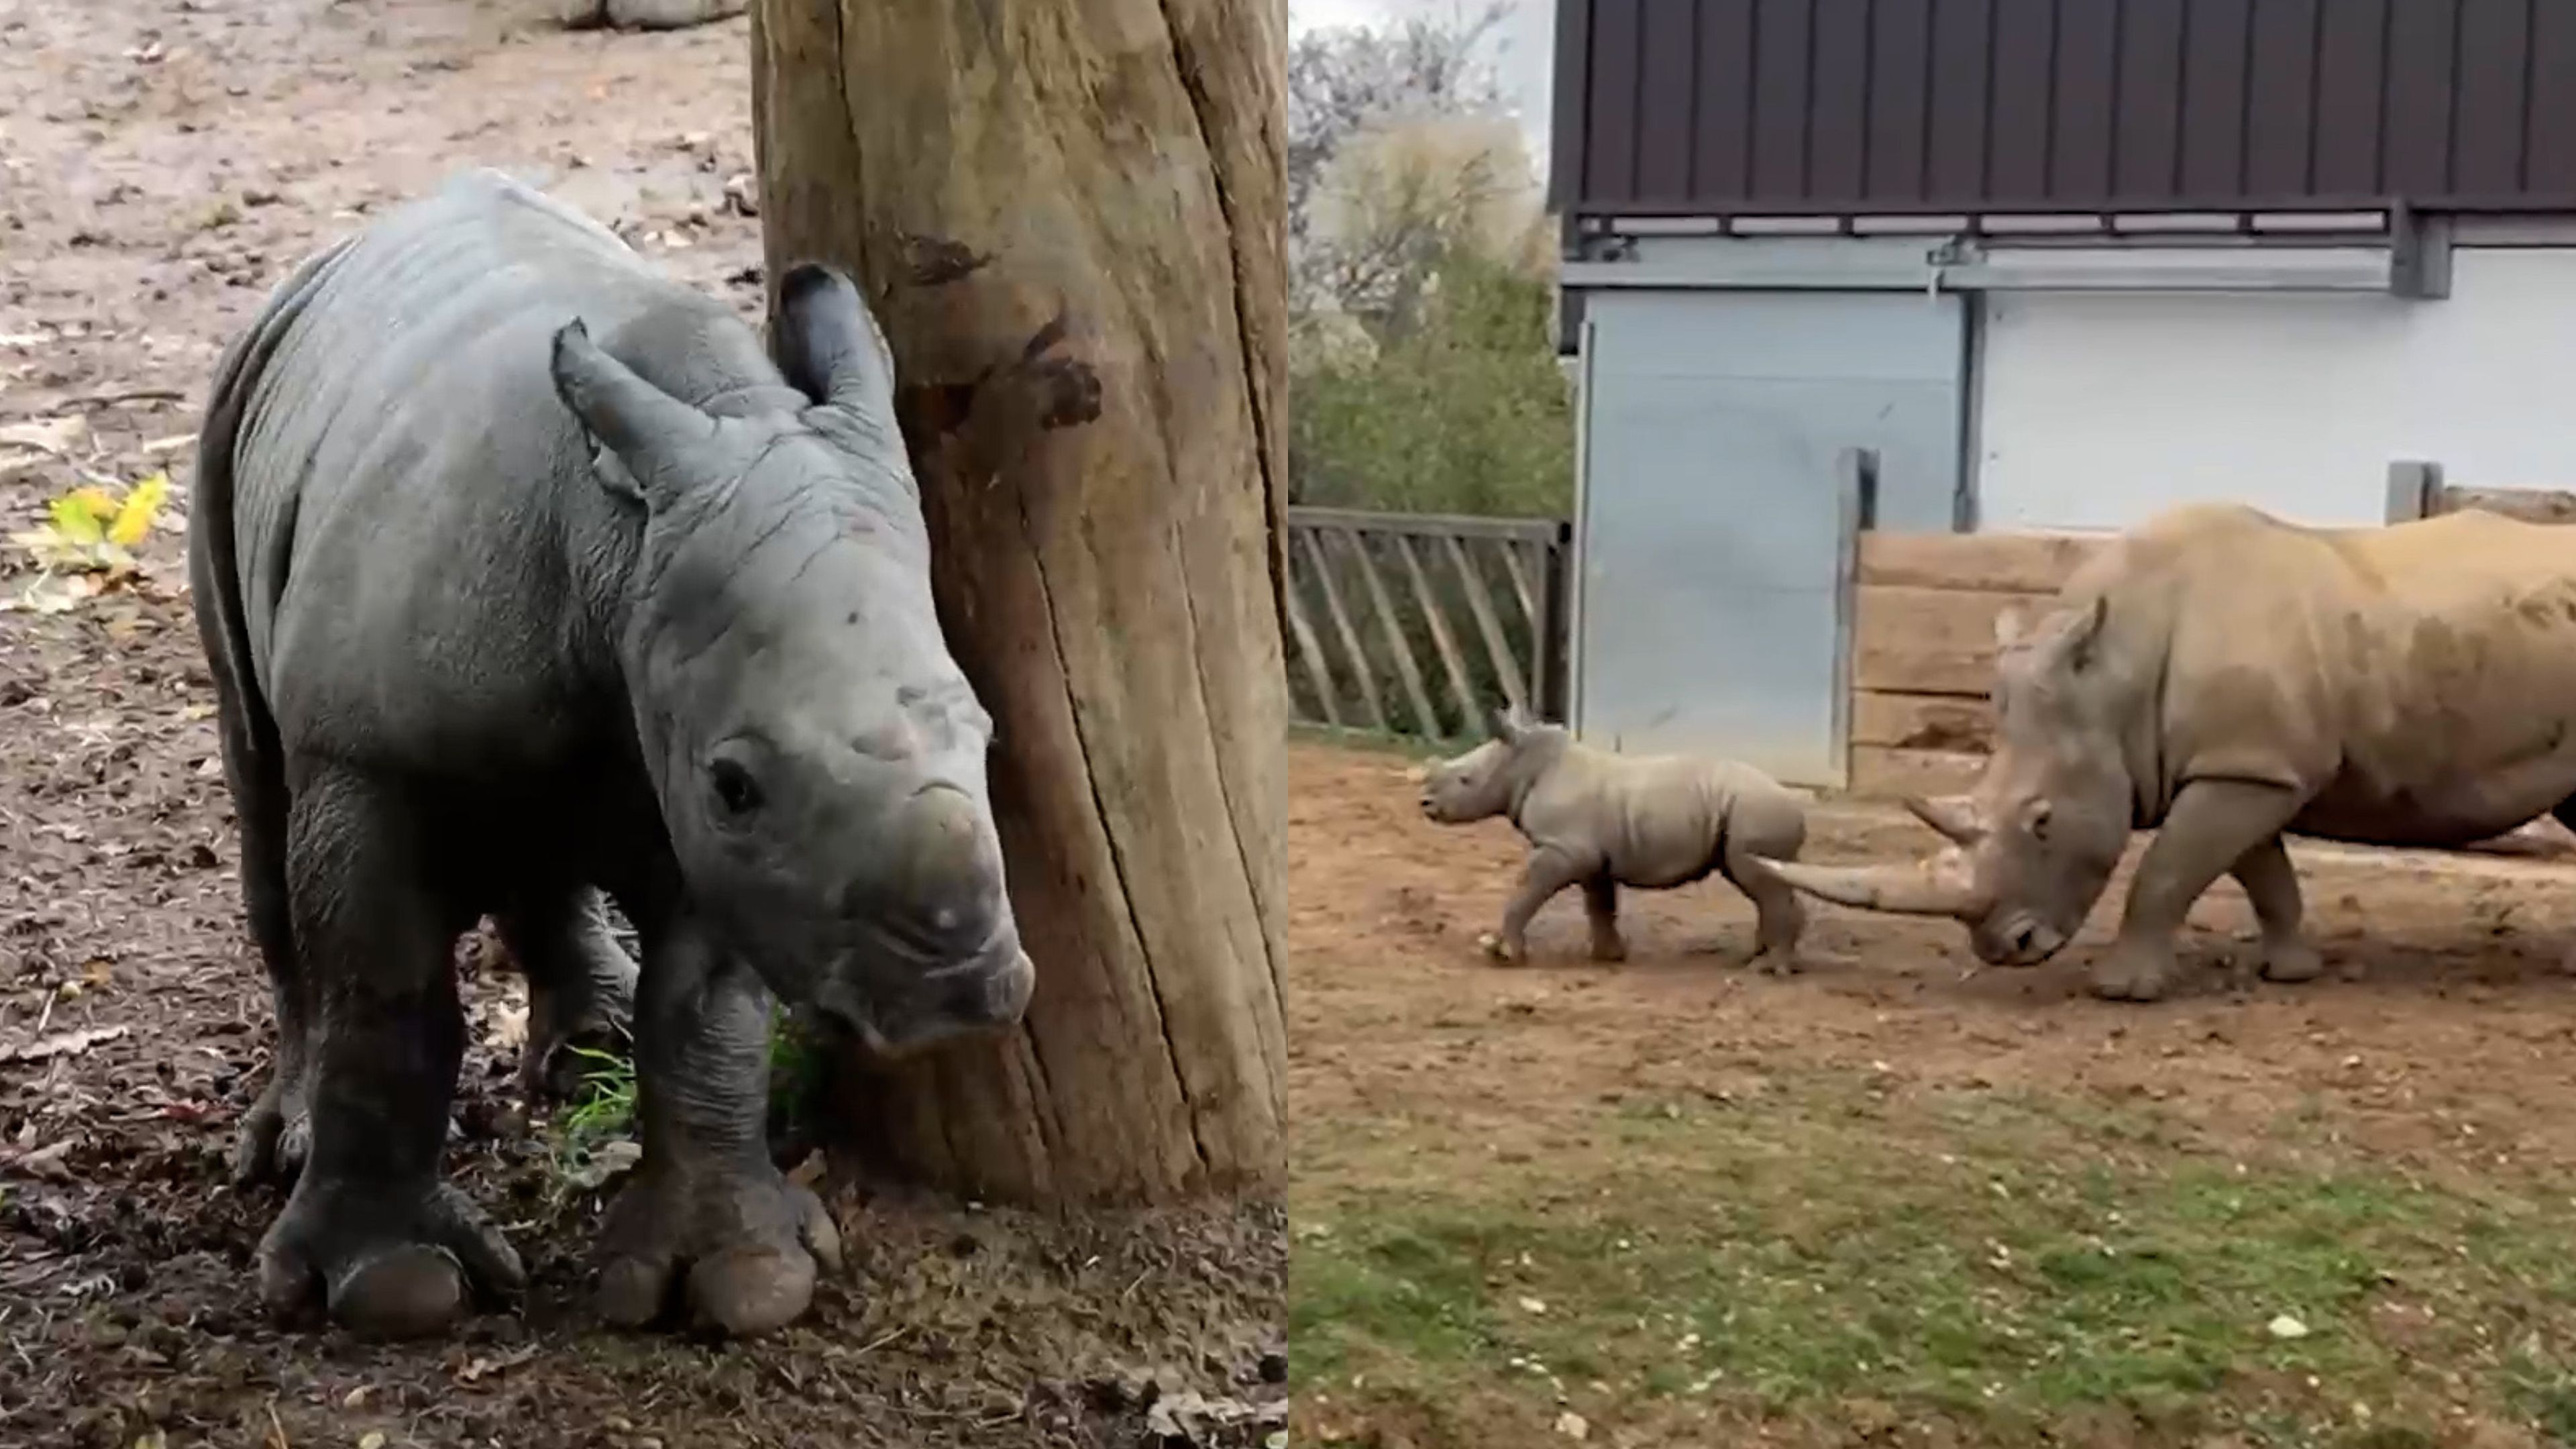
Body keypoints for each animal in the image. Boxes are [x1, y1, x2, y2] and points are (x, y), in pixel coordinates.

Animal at [190, 169, 1033, 1340]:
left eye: (990, 734)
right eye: (737, 784)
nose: (959, 995)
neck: (620, 552)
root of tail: (339, 256)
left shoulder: (711, 807)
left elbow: (703, 1013)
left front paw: (743, 1282)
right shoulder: (371, 758)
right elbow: (384, 996)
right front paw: (391, 1291)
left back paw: (593, 1050)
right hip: (230, 418)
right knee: (261, 789)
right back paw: (282, 1143)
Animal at [1417, 708, 1811, 971]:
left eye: (1465, 780)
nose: (1425, 804)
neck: (1527, 765)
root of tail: (1796, 802)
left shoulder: (1562, 849)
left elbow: (1525, 892)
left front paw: (1503, 954)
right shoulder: (1590, 856)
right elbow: (1600, 904)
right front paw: (1608, 957)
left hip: (1756, 809)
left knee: (1763, 885)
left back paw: (1767, 970)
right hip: (1746, 813)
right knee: (1758, 882)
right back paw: (1756, 959)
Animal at [1761, 500, 2576, 1003]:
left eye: (2043, 822)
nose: (2006, 948)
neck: (2116, 673)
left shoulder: (2246, 767)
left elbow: (2166, 871)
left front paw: (2122, 991)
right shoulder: (2246, 763)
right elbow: (2258, 873)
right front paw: (2289, 972)